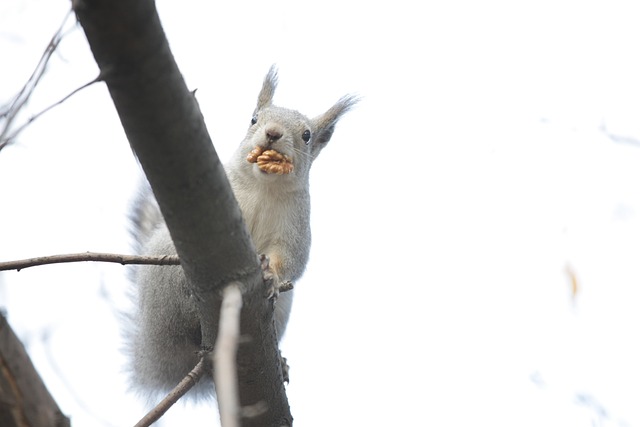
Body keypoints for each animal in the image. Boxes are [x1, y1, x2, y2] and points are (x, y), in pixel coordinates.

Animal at [125, 66, 356, 402]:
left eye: (307, 135)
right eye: (254, 119)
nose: (273, 133)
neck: (264, 185)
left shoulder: (296, 226)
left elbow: (290, 259)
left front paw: (271, 275)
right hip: (164, 283)